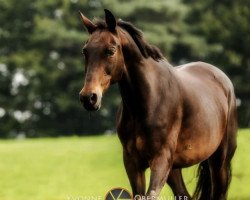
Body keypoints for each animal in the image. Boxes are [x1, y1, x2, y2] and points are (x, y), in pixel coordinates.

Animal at [77, 9, 236, 200]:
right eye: (85, 51)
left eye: (110, 50)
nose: (89, 97)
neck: (146, 103)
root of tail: (223, 79)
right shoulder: (133, 164)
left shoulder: (160, 160)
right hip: (175, 169)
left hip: (219, 162)